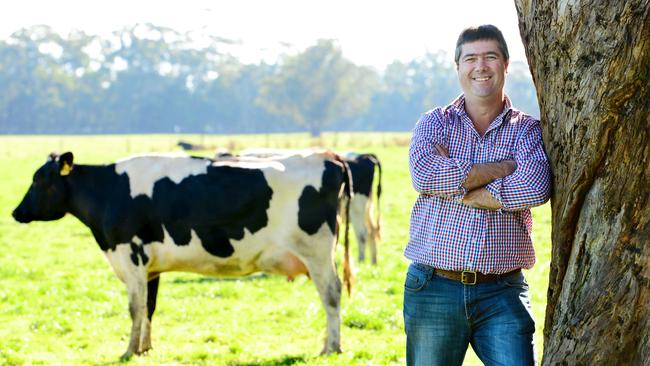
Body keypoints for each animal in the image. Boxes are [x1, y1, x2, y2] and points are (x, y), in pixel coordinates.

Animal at [12, 150, 352, 358]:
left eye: (39, 181)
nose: (16, 212)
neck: (108, 192)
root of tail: (328, 156)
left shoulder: (131, 256)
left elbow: (134, 309)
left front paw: (128, 351)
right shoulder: (150, 267)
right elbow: (149, 308)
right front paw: (144, 349)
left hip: (318, 254)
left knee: (332, 295)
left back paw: (332, 347)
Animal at [235, 147, 382, 264]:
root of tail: (364, 156)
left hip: (357, 206)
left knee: (362, 233)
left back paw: (361, 260)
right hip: (365, 207)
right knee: (372, 230)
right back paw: (373, 261)